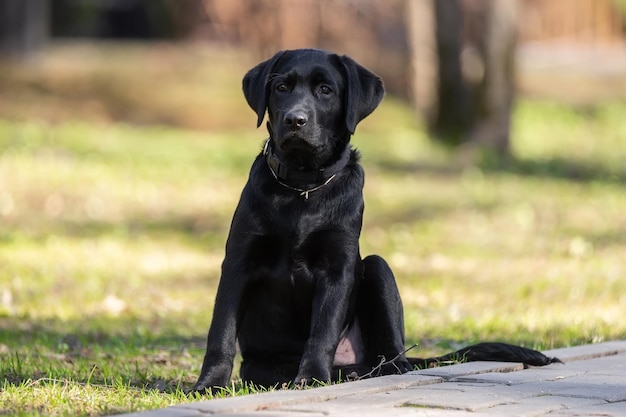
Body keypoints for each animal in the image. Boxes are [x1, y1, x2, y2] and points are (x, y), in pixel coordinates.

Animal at [190, 50, 556, 392]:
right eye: (281, 87)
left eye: (325, 90)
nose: (295, 120)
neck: (303, 187)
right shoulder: (239, 262)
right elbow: (221, 331)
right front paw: (209, 384)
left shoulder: (338, 268)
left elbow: (323, 332)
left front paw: (311, 377)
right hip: (261, 367)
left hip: (377, 269)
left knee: (392, 357)